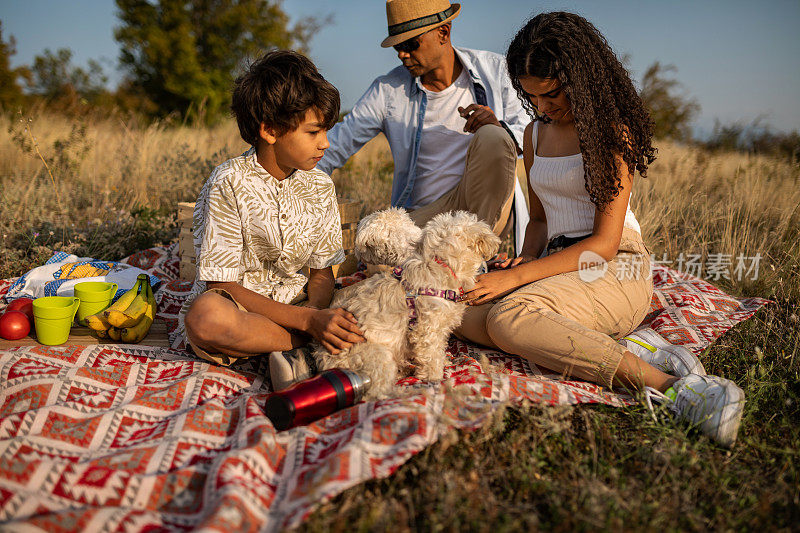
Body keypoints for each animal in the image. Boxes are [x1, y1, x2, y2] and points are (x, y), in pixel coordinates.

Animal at [314, 210, 496, 396]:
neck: (439, 265)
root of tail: (326, 361)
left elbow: (438, 351)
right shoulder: (427, 331)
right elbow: (432, 356)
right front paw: (437, 379)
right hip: (379, 357)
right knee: (375, 393)